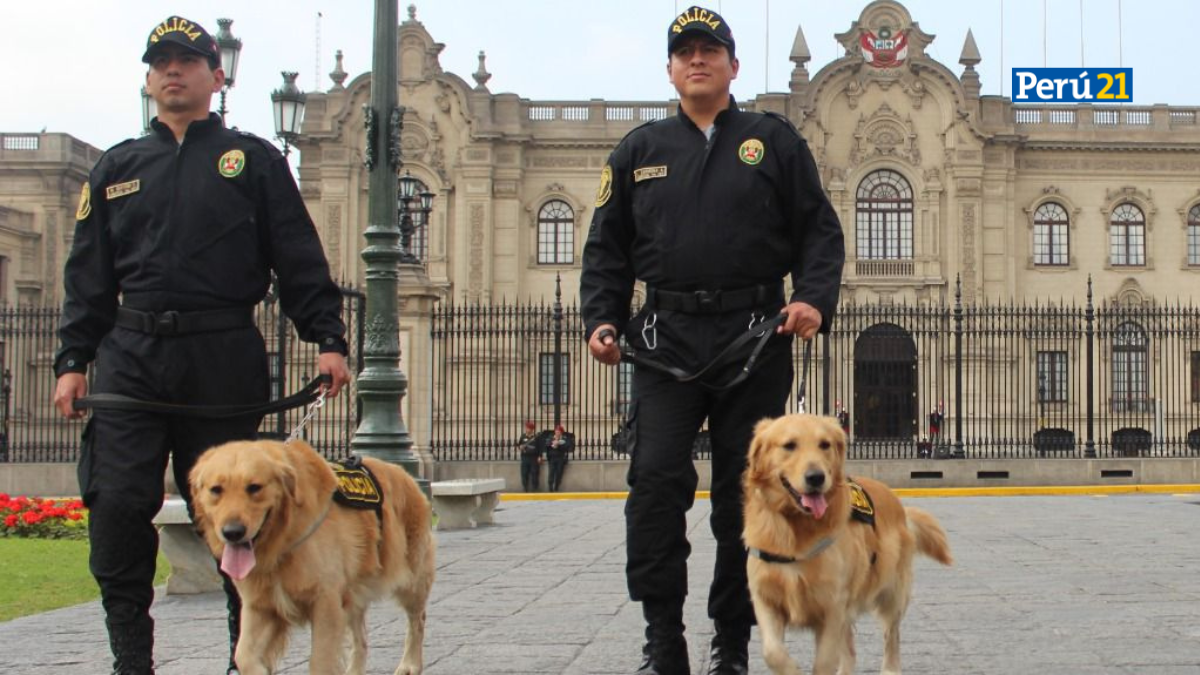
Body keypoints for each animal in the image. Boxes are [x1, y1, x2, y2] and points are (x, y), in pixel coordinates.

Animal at [187, 437, 432, 672]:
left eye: (254, 487)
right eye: (216, 490)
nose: (232, 533)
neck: (282, 540)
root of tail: (405, 474)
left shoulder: (326, 603)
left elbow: (320, 661)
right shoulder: (260, 605)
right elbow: (243, 656)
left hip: (412, 581)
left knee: (418, 620)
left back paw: (410, 665)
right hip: (353, 593)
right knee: (361, 638)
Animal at [739, 413, 945, 667]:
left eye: (824, 444)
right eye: (789, 445)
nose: (816, 477)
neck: (795, 531)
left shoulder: (833, 607)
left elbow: (824, 662)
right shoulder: (766, 600)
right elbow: (773, 653)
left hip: (892, 594)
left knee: (891, 638)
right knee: (851, 651)